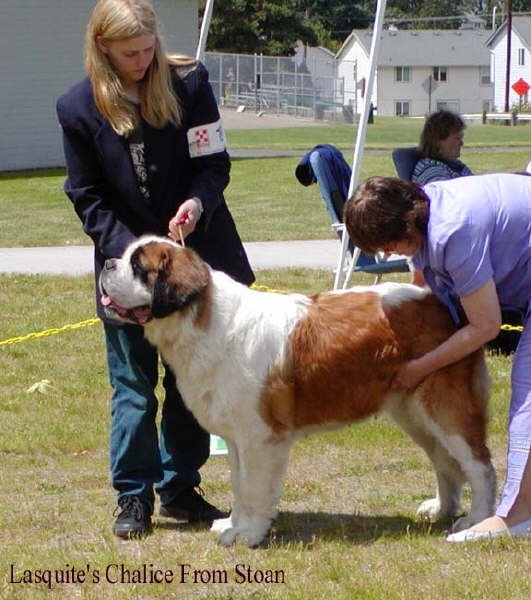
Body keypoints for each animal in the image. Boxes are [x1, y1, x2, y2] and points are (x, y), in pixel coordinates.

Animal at [101, 236, 498, 548]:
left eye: (138, 266)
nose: (106, 262)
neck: (204, 320)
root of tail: (440, 301)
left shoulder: (260, 438)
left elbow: (253, 488)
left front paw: (248, 534)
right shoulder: (237, 437)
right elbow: (238, 483)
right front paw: (232, 524)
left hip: (446, 410)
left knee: (478, 466)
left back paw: (477, 520)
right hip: (413, 413)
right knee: (444, 462)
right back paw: (441, 509)